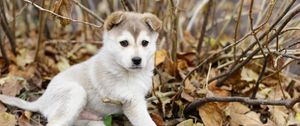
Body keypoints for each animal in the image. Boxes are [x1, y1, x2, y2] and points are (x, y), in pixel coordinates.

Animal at [0, 11, 162, 126]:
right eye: (124, 43)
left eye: (145, 43)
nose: (137, 60)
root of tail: (42, 100)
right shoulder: (131, 103)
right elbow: (146, 122)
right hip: (75, 93)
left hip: (91, 121)